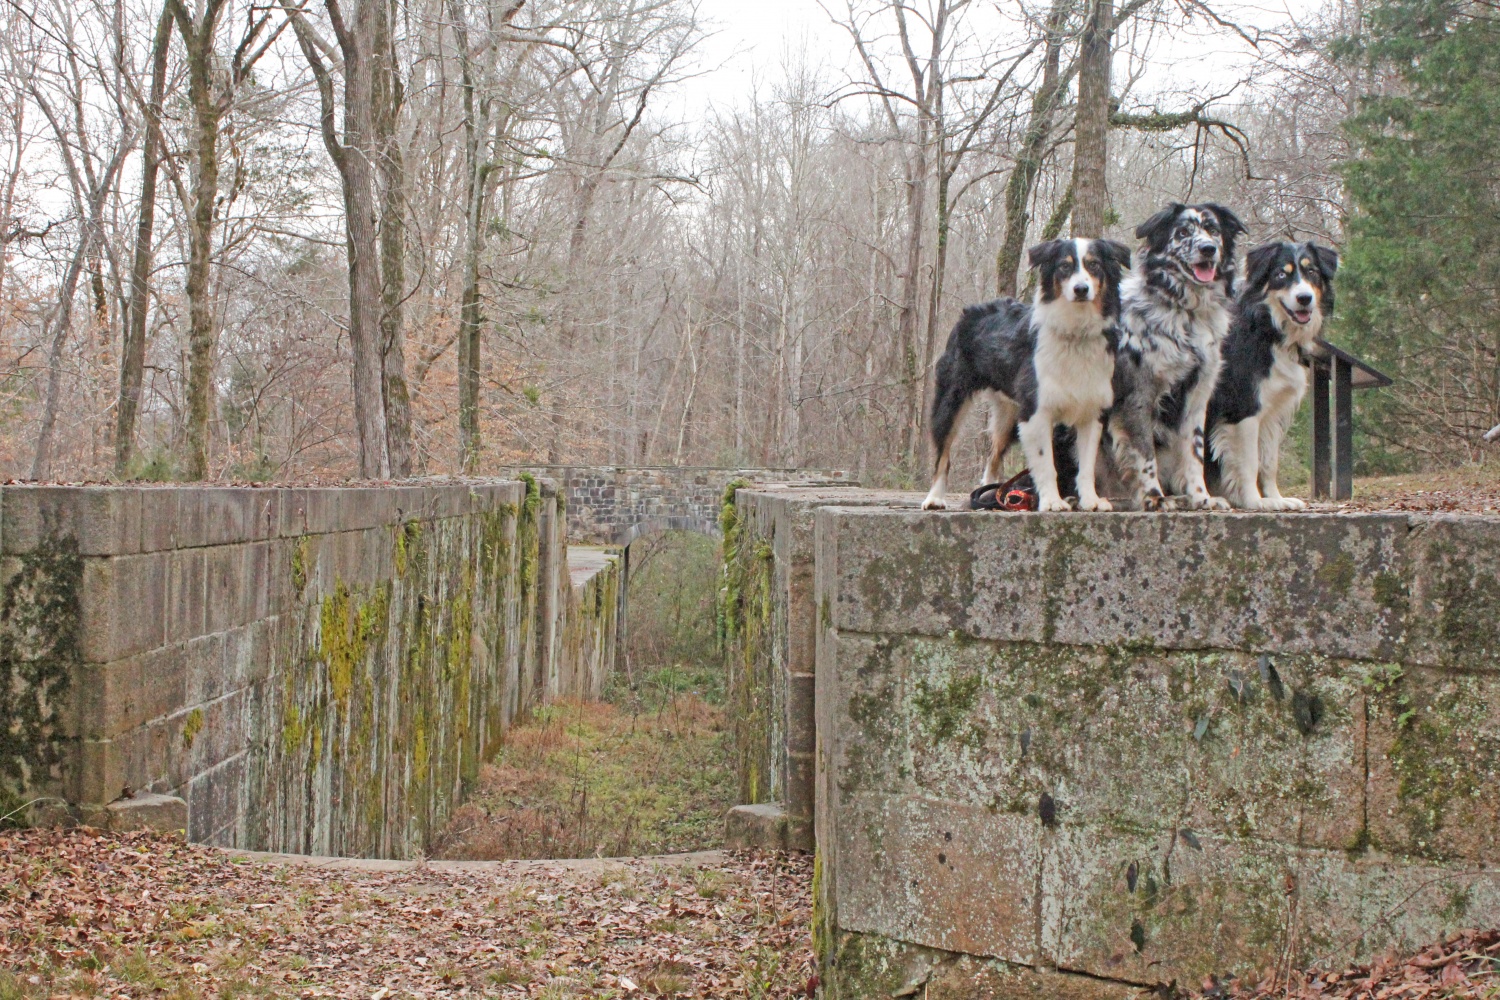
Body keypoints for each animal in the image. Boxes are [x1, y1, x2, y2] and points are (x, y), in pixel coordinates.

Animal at [918, 238, 1128, 512]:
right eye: (1064, 266)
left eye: (1094, 265)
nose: (1081, 289)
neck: (1075, 331)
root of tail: (972, 310)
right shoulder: (1036, 410)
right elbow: (1046, 463)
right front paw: (1051, 501)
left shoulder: (1092, 409)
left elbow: (1087, 465)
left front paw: (1090, 500)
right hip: (952, 398)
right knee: (943, 452)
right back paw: (935, 498)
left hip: (1009, 415)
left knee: (993, 456)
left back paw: (990, 495)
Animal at [1110, 206, 1248, 512]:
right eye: (1182, 232)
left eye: (1213, 230)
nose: (1208, 249)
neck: (1185, 313)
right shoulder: (1140, 396)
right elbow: (1145, 455)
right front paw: (1154, 498)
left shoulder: (1197, 397)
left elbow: (1194, 454)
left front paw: (1201, 497)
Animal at [1212, 239, 1344, 509]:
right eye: (1281, 275)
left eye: (1312, 271)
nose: (1304, 298)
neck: (1268, 328)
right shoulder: (1245, 406)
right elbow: (1249, 461)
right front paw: (1254, 502)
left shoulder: (1272, 413)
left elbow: (1269, 462)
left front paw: (1276, 499)